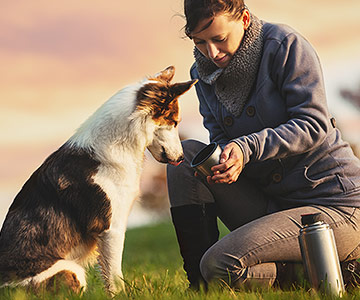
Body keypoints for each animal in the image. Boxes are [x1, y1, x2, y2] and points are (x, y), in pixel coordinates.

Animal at [0, 65, 197, 292]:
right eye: (174, 122)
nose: (181, 158)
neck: (120, 143)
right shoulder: (111, 229)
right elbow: (115, 277)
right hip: (71, 271)